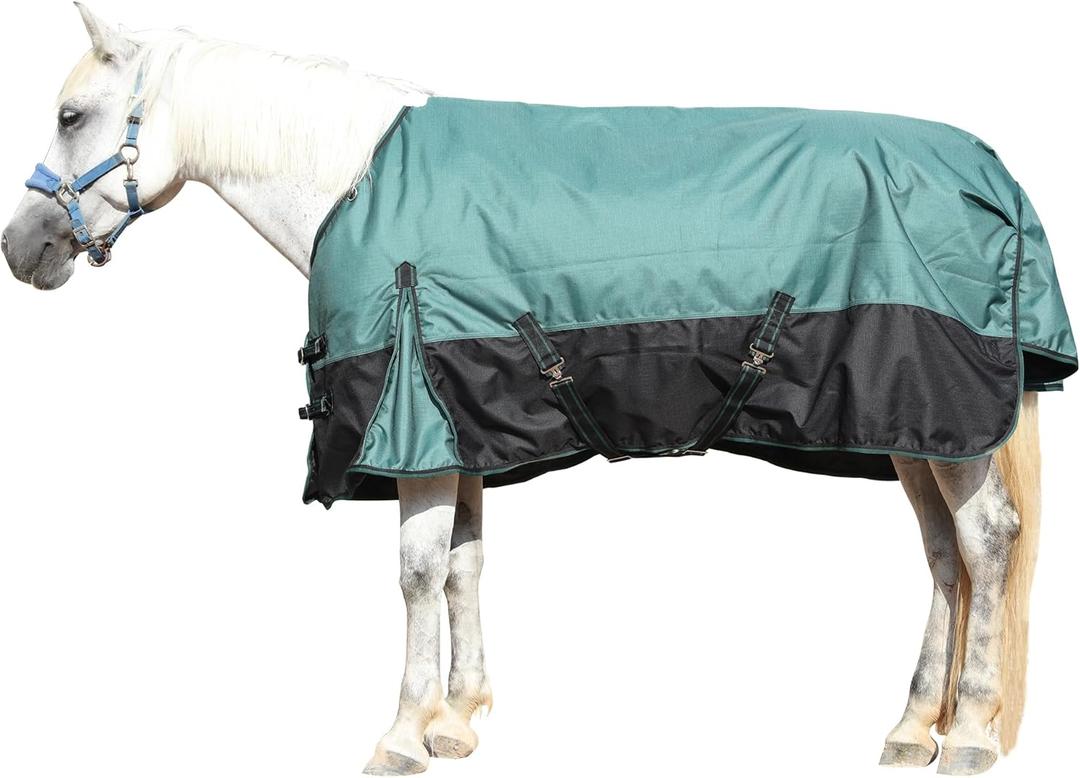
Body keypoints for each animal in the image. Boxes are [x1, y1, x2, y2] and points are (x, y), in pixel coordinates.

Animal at [2, 6, 1064, 776]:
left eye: (70, 116)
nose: (22, 249)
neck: (352, 183)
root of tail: (994, 177)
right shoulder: (460, 416)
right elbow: (464, 564)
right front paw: (459, 719)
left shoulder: (415, 420)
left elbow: (417, 571)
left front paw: (401, 735)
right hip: (914, 423)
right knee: (944, 553)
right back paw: (912, 728)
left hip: (942, 415)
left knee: (986, 540)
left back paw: (970, 734)